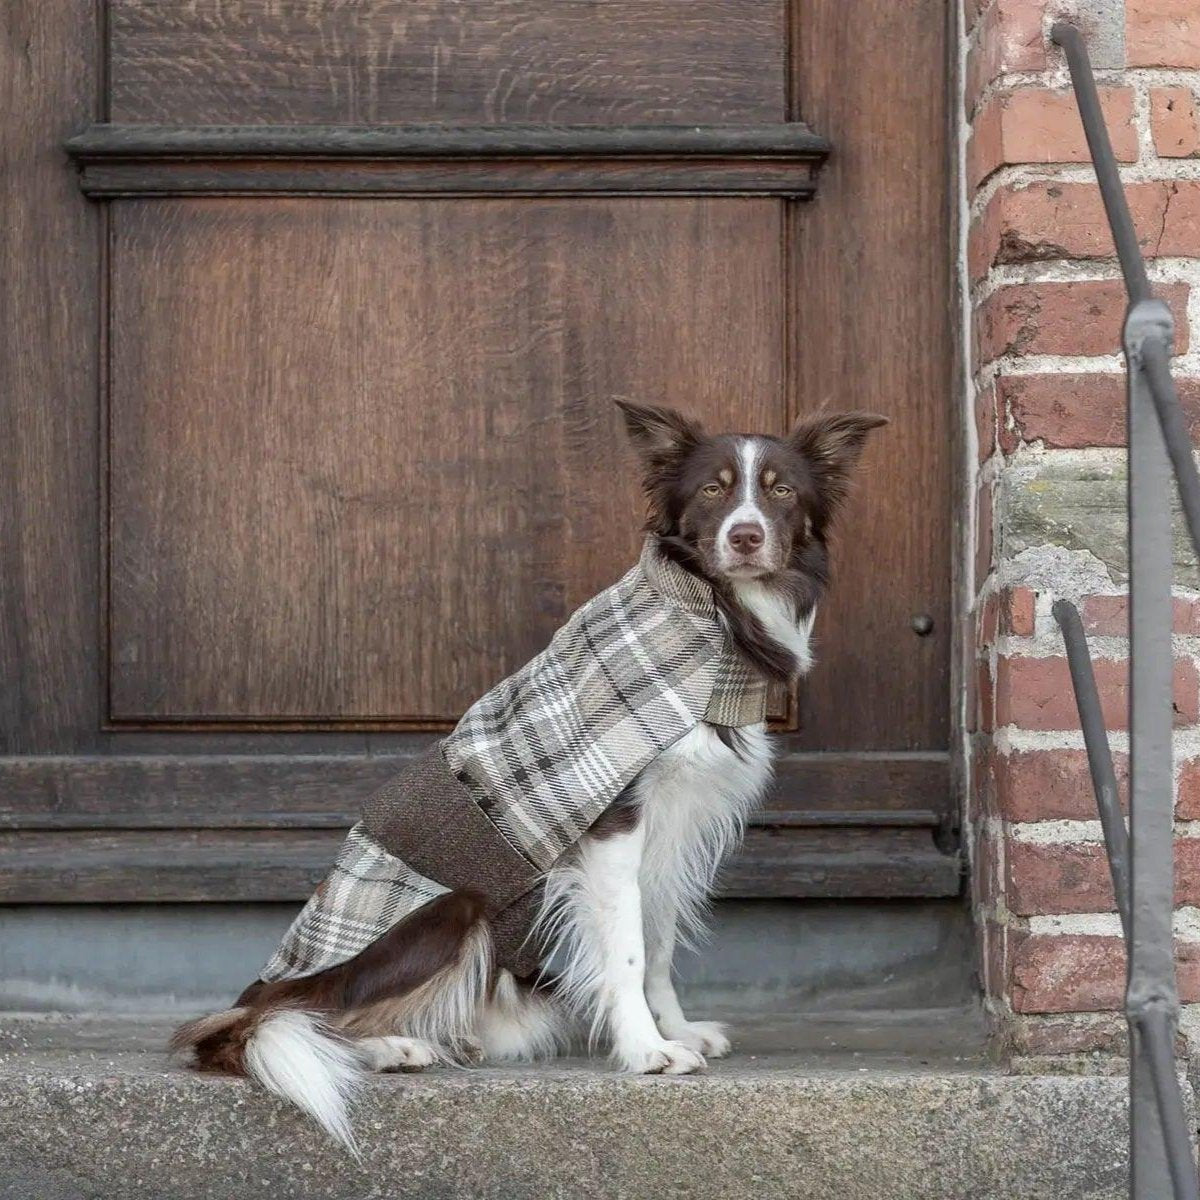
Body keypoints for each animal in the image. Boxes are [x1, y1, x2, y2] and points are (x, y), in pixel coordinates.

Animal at [171, 405, 883, 1152]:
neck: (708, 619)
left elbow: (658, 942)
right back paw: (386, 1047)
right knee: (290, 1020)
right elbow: (628, 950)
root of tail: (260, 989)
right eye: (713, 491)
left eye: (781, 492)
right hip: (449, 911)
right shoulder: (613, 823)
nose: (745, 536)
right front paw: (646, 1050)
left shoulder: (674, 829)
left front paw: (676, 1030)